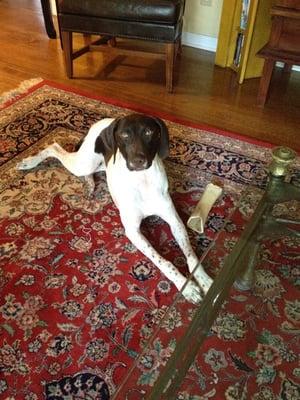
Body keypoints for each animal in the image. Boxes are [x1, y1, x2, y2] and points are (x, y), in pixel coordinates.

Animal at [17, 114, 213, 302]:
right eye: (124, 135)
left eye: (149, 132)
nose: (137, 161)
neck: (142, 180)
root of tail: (103, 122)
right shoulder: (133, 231)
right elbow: (163, 261)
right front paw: (186, 286)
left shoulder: (175, 221)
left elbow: (191, 255)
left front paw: (203, 280)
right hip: (82, 163)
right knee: (54, 147)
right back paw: (29, 162)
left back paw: (90, 184)